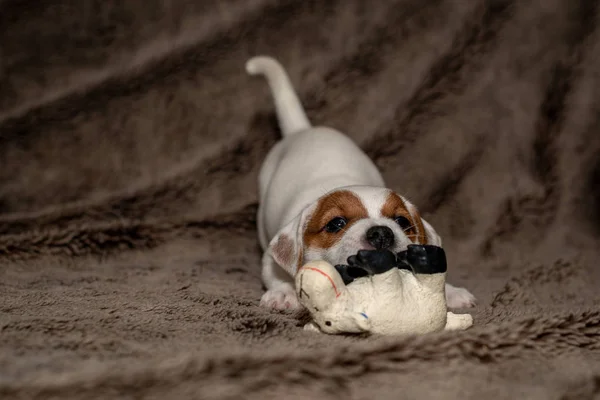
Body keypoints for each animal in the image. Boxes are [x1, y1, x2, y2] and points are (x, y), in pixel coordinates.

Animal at [246, 56, 476, 310]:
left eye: (402, 221)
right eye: (336, 223)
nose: (382, 234)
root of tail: (302, 130)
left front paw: (449, 291)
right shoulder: (271, 257)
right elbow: (276, 273)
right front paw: (284, 291)